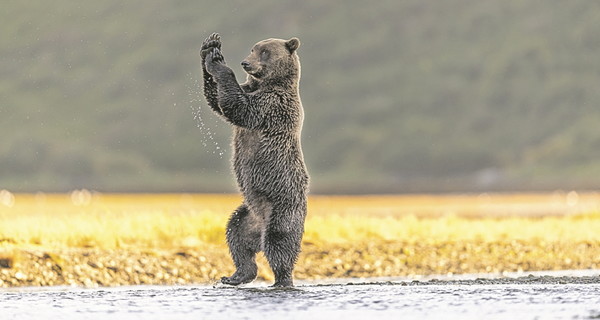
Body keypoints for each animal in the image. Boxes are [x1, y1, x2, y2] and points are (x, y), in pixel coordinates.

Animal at [200, 33, 310, 288]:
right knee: (236, 237)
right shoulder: (251, 90)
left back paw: (282, 279)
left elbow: (239, 108)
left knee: (280, 242)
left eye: (265, 52)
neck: (266, 84)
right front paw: (210, 48)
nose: (245, 63)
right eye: (253, 49)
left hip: (282, 204)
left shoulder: (273, 105)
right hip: (246, 214)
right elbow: (218, 101)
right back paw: (236, 275)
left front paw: (219, 62)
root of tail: (259, 227)